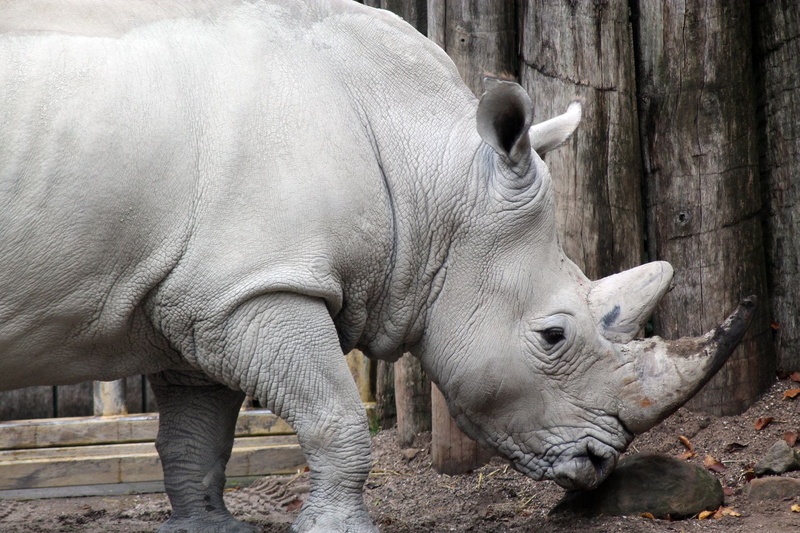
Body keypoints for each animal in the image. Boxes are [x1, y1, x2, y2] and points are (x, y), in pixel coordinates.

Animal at [0, 1, 754, 532]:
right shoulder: (259, 288)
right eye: (552, 335)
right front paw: (338, 529)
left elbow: (197, 432)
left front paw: (206, 528)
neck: (432, 171)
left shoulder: (202, 292)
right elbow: (335, 414)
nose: (599, 463)